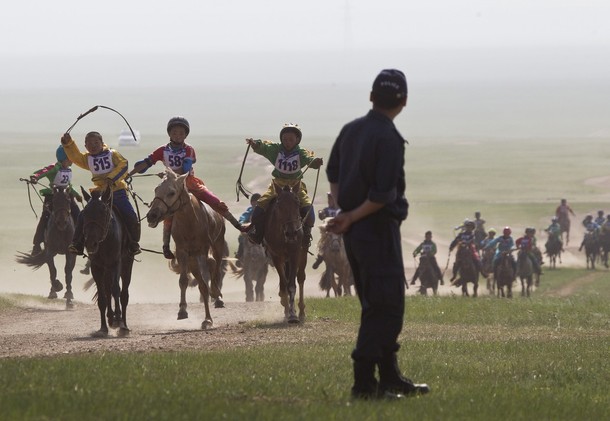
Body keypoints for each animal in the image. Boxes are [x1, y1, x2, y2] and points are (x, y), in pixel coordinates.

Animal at [145, 167, 226, 328]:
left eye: (171, 192)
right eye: (156, 190)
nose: (152, 215)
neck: (190, 222)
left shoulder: (203, 251)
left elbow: (206, 280)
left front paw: (208, 319)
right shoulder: (182, 252)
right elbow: (184, 281)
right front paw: (182, 311)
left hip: (218, 245)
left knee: (216, 266)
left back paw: (217, 296)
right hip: (192, 259)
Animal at [262, 180, 306, 322]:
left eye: (297, 203)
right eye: (279, 205)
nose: (292, 233)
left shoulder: (295, 253)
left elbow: (291, 285)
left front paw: (293, 315)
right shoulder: (276, 256)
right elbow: (284, 283)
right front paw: (287, 310)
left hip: (303, 254)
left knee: (301, 278)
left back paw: (301, 311)